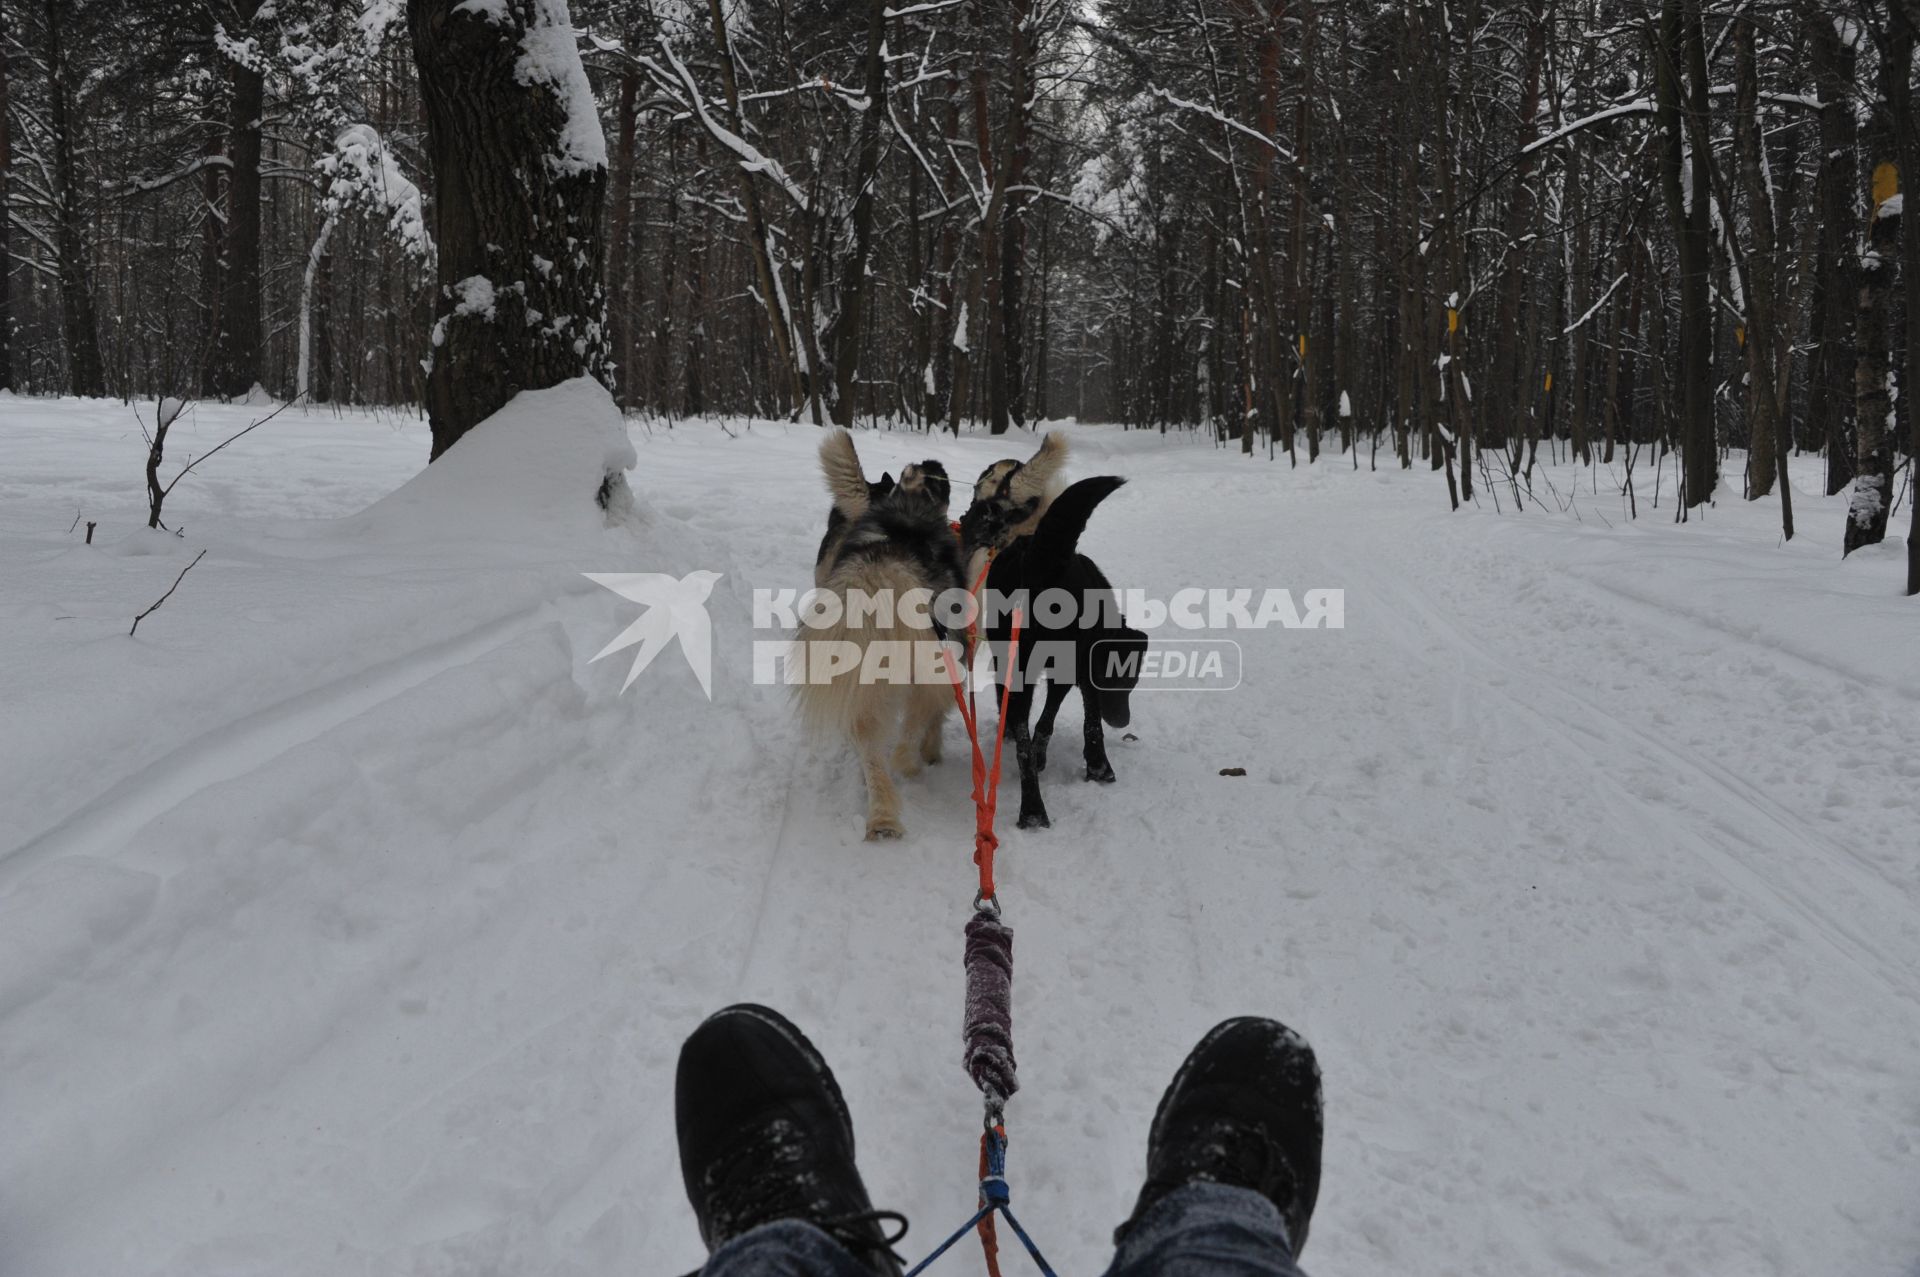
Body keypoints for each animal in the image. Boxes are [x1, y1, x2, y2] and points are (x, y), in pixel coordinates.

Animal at [967, 476, 1144, 825]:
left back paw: (1033, 806)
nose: (1123, 721)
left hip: (1017, 664)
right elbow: (1086, 721)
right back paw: (1034, 810)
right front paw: (1097, 765)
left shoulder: (1064, 672)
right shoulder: (1078, 672)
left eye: (1131, 681)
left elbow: (1050, 721)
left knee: (1023, 731)